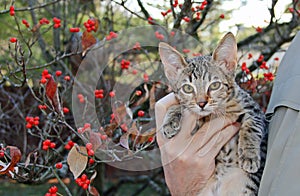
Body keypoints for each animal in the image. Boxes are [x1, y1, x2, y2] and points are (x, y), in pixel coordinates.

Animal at [158, 33, 268, 195]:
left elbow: (251, 127)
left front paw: (249, 155)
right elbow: (181, 106)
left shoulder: (254, 111)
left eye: (214, 85)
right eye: (187, 88)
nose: (201, 103)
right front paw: (170, 121)